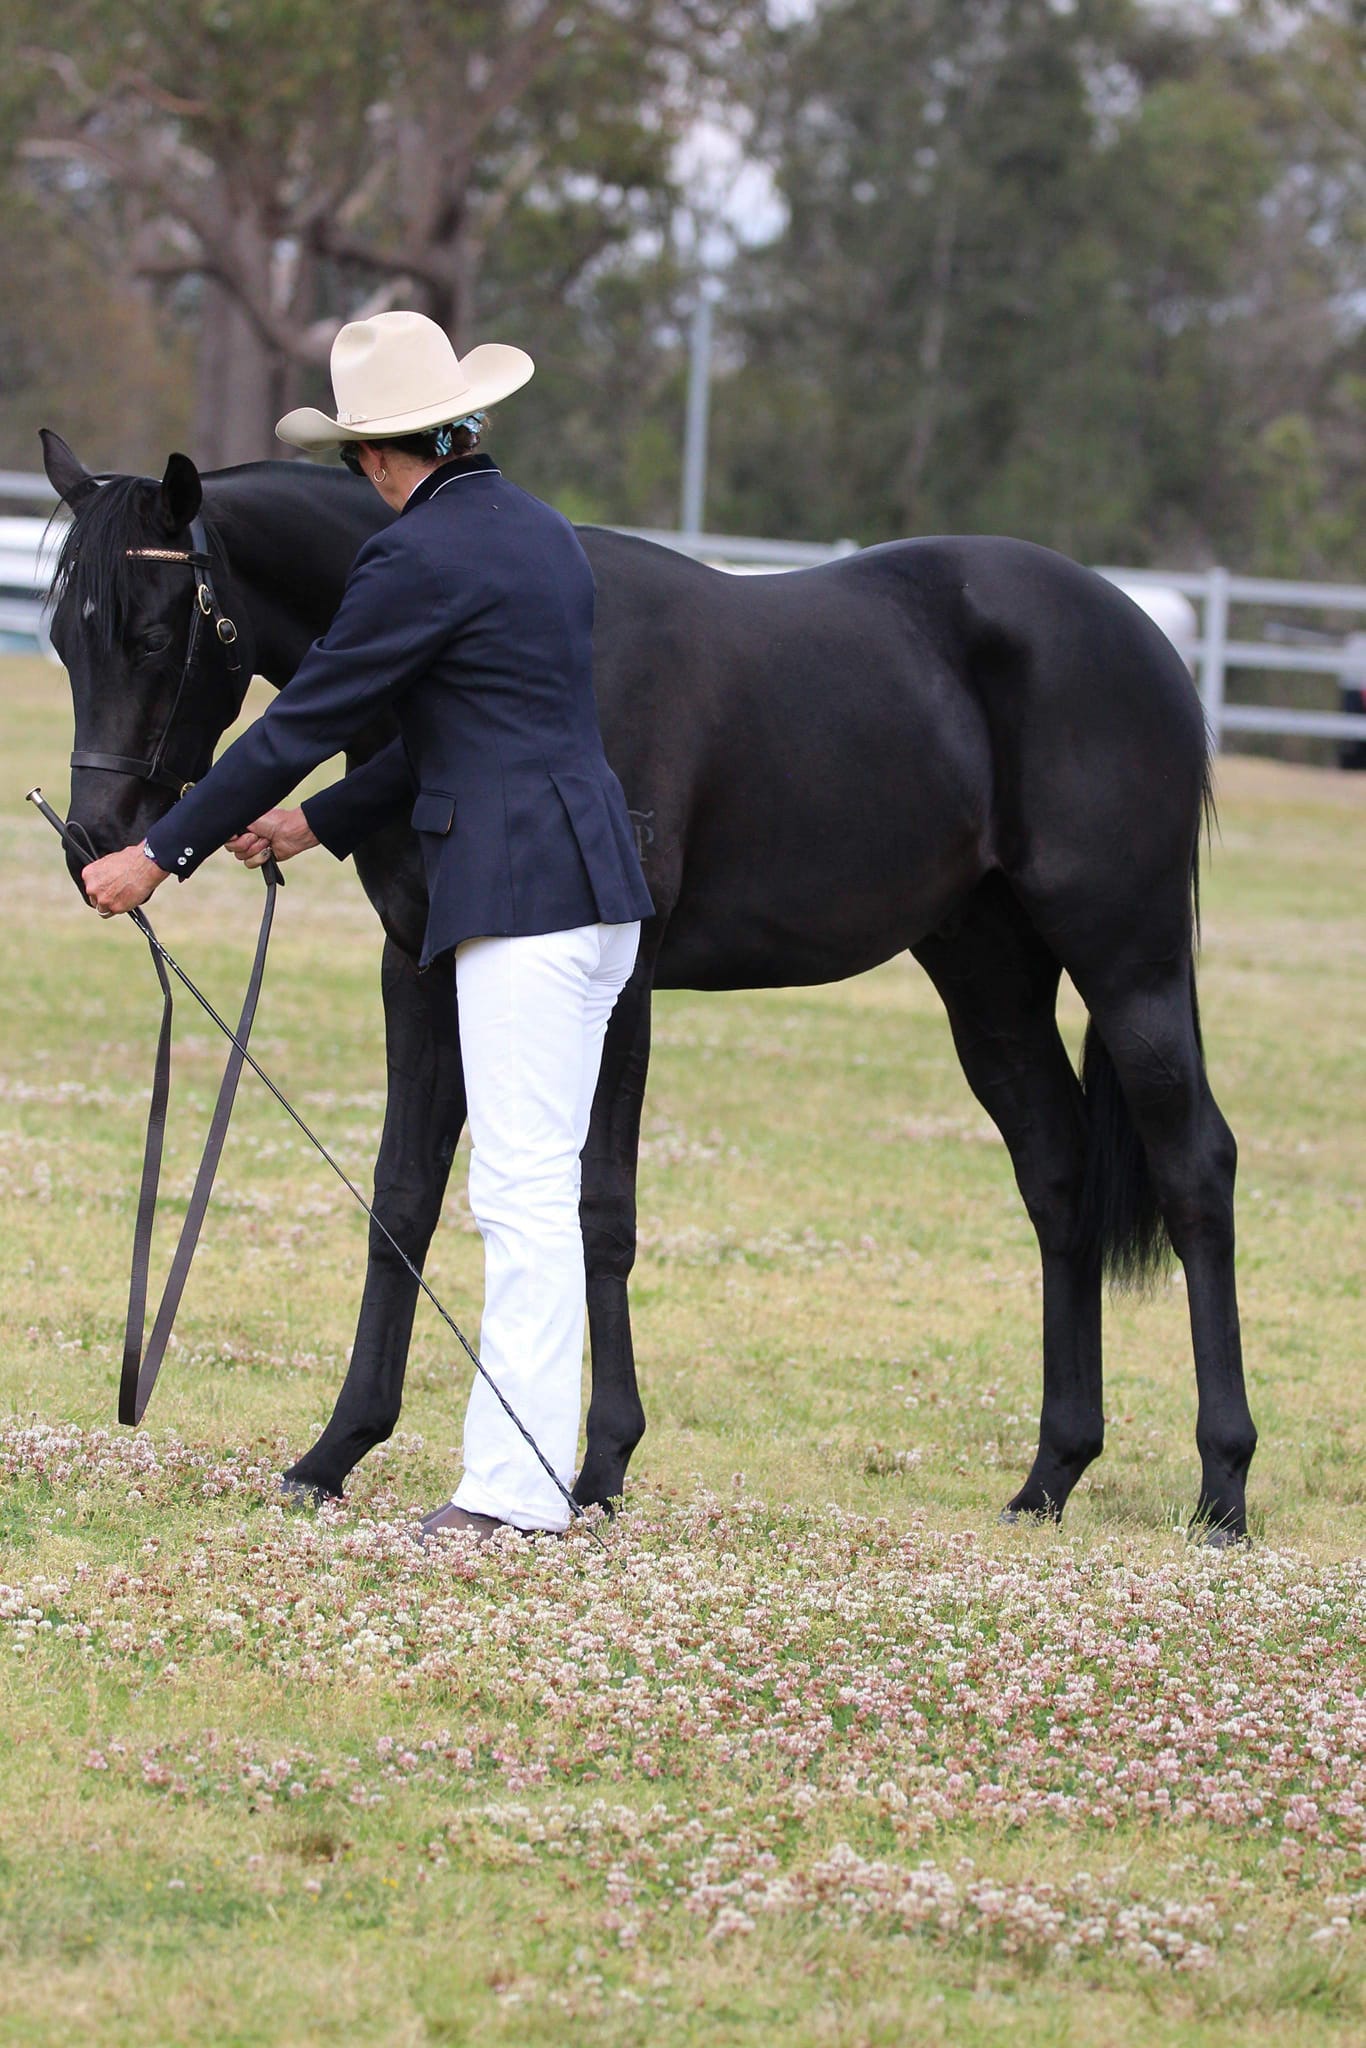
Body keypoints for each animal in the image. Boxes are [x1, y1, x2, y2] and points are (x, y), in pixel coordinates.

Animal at [39, 429, 1256, 1542]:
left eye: (156, 632)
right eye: (59, 637)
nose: (97, 843)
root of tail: (1142, 640)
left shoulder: (617, 982)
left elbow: (599, 1208)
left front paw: (597, 1466)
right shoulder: (421, 967)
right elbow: (403, 1194)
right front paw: (335, 1450)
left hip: (1129, 959)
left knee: (1194, 1166)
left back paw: (1222, 1488)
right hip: (987, 972)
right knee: (1055, 1176)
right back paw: (1050, 1476)